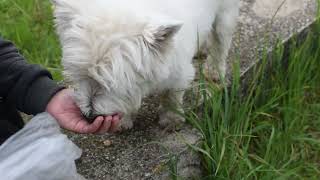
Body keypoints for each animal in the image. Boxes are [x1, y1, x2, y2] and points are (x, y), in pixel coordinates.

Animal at [51, 0, 239, 130]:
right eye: (79, 75)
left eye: (111, 83)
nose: (89, 116)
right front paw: (124, 120)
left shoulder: (180, 72)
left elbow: (172, 95)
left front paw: (171, 119)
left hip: (226, 13)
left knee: (221, 41)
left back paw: (214, 71)